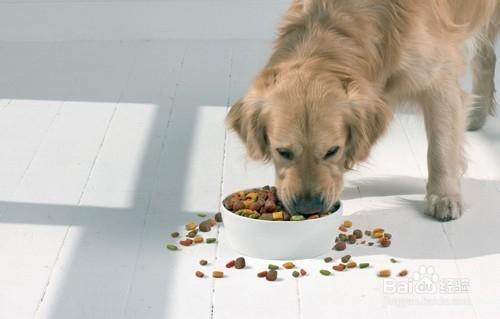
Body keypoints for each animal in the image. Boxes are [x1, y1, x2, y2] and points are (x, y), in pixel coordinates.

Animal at [228, 0, 500, 220]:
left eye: (332, 150)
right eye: (282, 152)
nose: (308, 207)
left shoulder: (438, 80)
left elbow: (440, 148)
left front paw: (444, 196)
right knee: (487, 56)